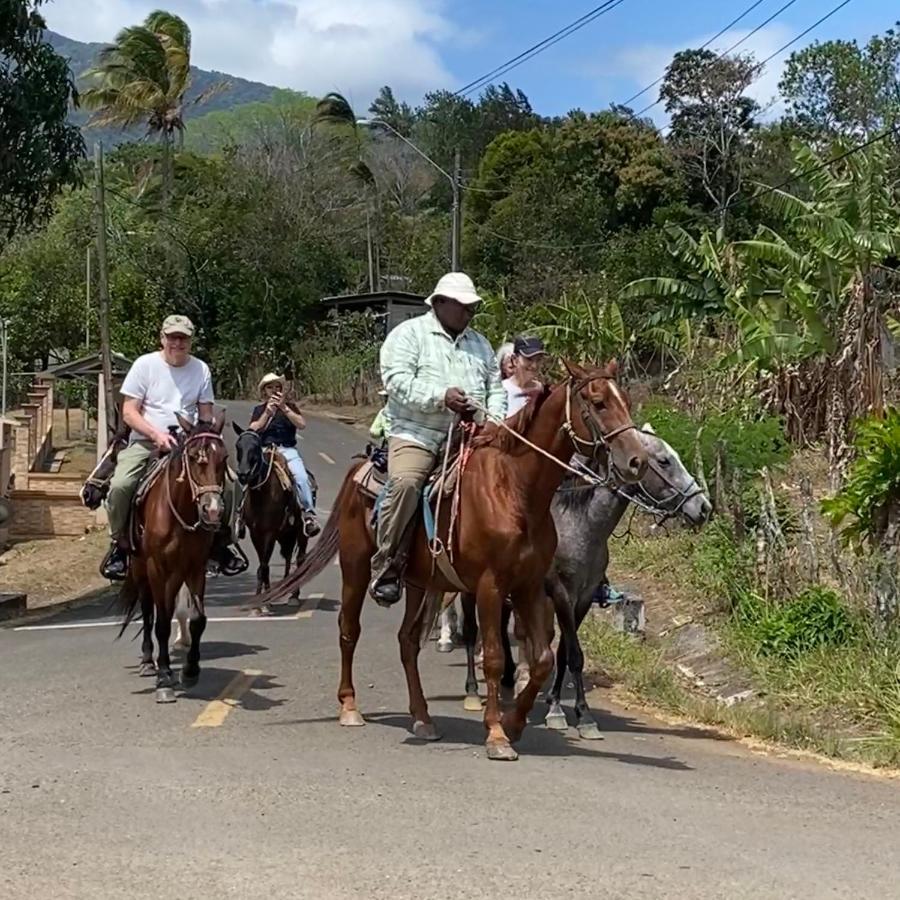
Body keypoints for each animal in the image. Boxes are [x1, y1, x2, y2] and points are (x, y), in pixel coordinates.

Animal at [118, 414, 230, 704]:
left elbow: (198, 619)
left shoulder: (195, 568)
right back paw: (149, 661)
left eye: (224, 457)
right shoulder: (157, 568)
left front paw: (190, 670)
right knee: (149, 612)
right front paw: (164, 679)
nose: (212, 511)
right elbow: (160, 624)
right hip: (142, 570)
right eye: (193, 457)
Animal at [232, 426, 316, 608]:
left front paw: (264, 602)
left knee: (299, 559)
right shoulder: (256, 533)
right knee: (288, 556)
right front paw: (262, 598)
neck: (261, 494)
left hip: (300, 532)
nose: (243, 474)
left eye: (256, 447)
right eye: (238, 446)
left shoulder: (270, 533)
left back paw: (293, 595)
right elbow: (263, 566)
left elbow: (264, 565)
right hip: (285, 533)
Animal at [258, 362, 648, 764]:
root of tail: (359, 470)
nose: (638, 460)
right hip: (356, 568)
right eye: (598, 403)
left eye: (626, 399)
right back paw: (350, 707)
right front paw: (496, 734)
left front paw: (515, 723)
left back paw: (422, 717)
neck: (514, 490)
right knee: (349, 630)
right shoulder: (491, 586)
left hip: (417, 583)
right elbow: (493, 657)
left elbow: (542, 658)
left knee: (407, 642)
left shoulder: (529, 586)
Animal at [458, 428, 712, 740]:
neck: (581, 525)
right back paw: (472, 691)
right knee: (471, 631)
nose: (703, 507)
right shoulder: (560, 593)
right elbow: (573, 653)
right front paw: (576, 715)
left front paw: (559, 705)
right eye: (664, 461)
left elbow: (564, 652)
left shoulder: (583, 597)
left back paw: (509, 678)